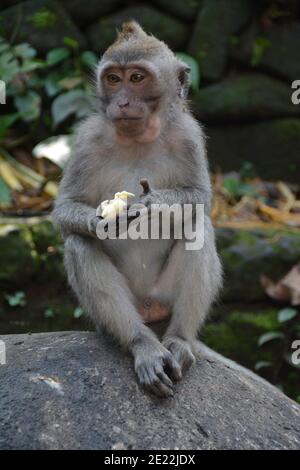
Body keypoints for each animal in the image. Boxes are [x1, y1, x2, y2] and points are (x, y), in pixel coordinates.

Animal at [52, 21, 223, 396]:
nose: (123, 101)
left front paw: (151, 203)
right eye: (114, 79)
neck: (138, 137)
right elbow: (65, 209)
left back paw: (179, 340)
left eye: (137, 78)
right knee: (79, 243)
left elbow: (200, 197)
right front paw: (102, 222)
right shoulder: (86, 140)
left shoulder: (189, 135)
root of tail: (148, 307)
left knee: (197, 226)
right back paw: (143, 344)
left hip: (164, 295)